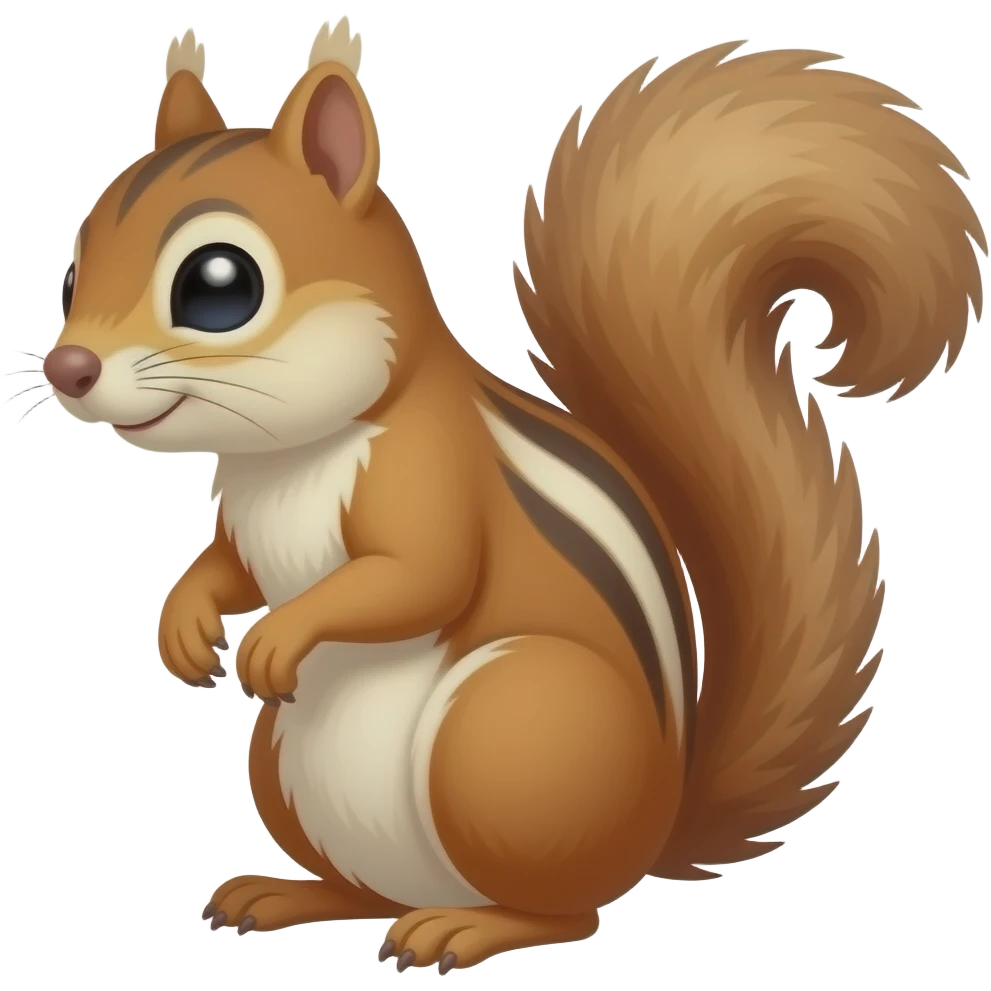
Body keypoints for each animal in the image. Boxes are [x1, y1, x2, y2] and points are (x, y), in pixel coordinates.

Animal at [42, 18, 984, 974]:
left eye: (219, 285)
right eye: (72, 273)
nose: (66, 368)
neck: (288, 456)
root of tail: (656, 829)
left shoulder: (430, 473)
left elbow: (420, 575)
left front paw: (278, 635)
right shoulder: (243, 523)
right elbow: (227, 566)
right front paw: (185, 626)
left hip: (506, 733)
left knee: (566, 909)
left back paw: (468, 928)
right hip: (282, 762)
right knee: (370, 890)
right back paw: (292, 893)